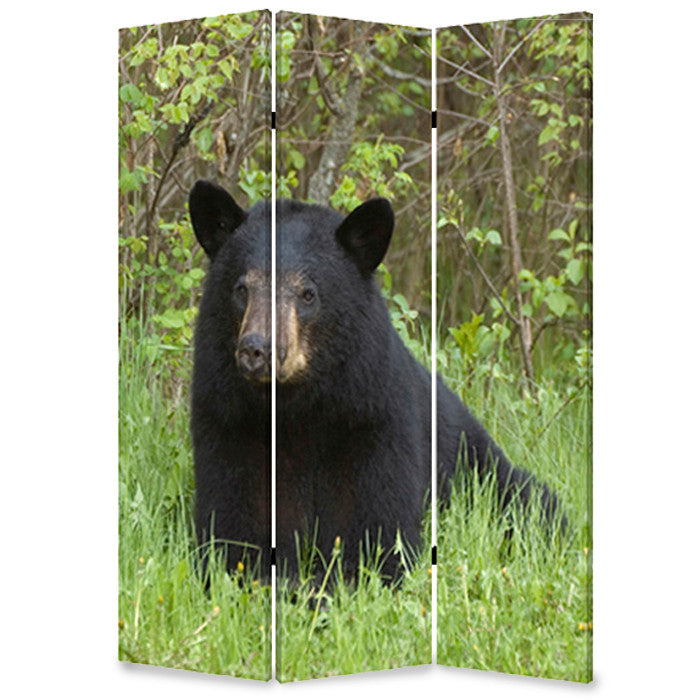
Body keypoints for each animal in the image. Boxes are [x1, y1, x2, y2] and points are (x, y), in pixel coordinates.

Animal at [188, 179, 563, 583]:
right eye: (241, 288)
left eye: (308, 293)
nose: (257, 349)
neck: (296, 406)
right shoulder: (229, 421)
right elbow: (233, 530)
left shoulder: (372, 419)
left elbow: (378, 535)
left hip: (482, 471)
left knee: (533, 504)